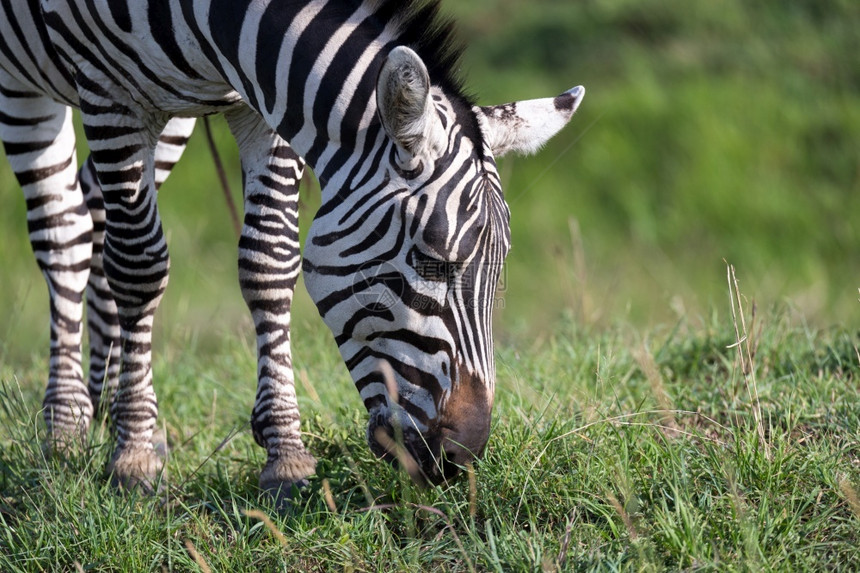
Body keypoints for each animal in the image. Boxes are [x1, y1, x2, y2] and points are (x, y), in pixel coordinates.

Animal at [1, 0, 584, 492]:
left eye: (499, 272)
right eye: (429, 261)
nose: (461, 459)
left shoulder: (267, 102)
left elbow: (268, 262)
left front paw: (285, 457)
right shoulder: (110, 94)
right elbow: (141, 267)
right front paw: (134, 458)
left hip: (170, 114)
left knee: (96, 217)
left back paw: (103, 404)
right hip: (28, 82)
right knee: (66, 232)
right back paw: (65, 424)